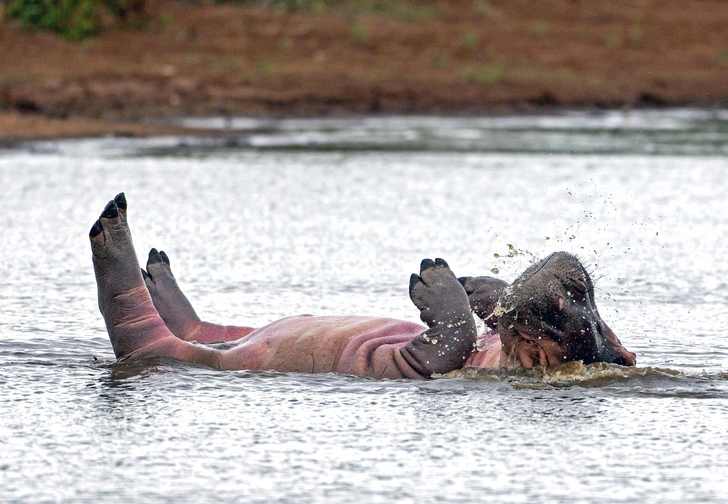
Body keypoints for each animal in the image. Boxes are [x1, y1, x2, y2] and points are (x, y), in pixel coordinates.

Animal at [88, 195, 636, 380]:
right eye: (591, 306)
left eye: (576, 307)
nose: (576, 275)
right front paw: (471, 284)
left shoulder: (426, 364)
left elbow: (448, 338)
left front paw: (436, 278)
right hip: (232, 332)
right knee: (205, 325)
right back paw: (156, 270)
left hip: (165, 347)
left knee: (133, 319)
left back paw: (113, 227)